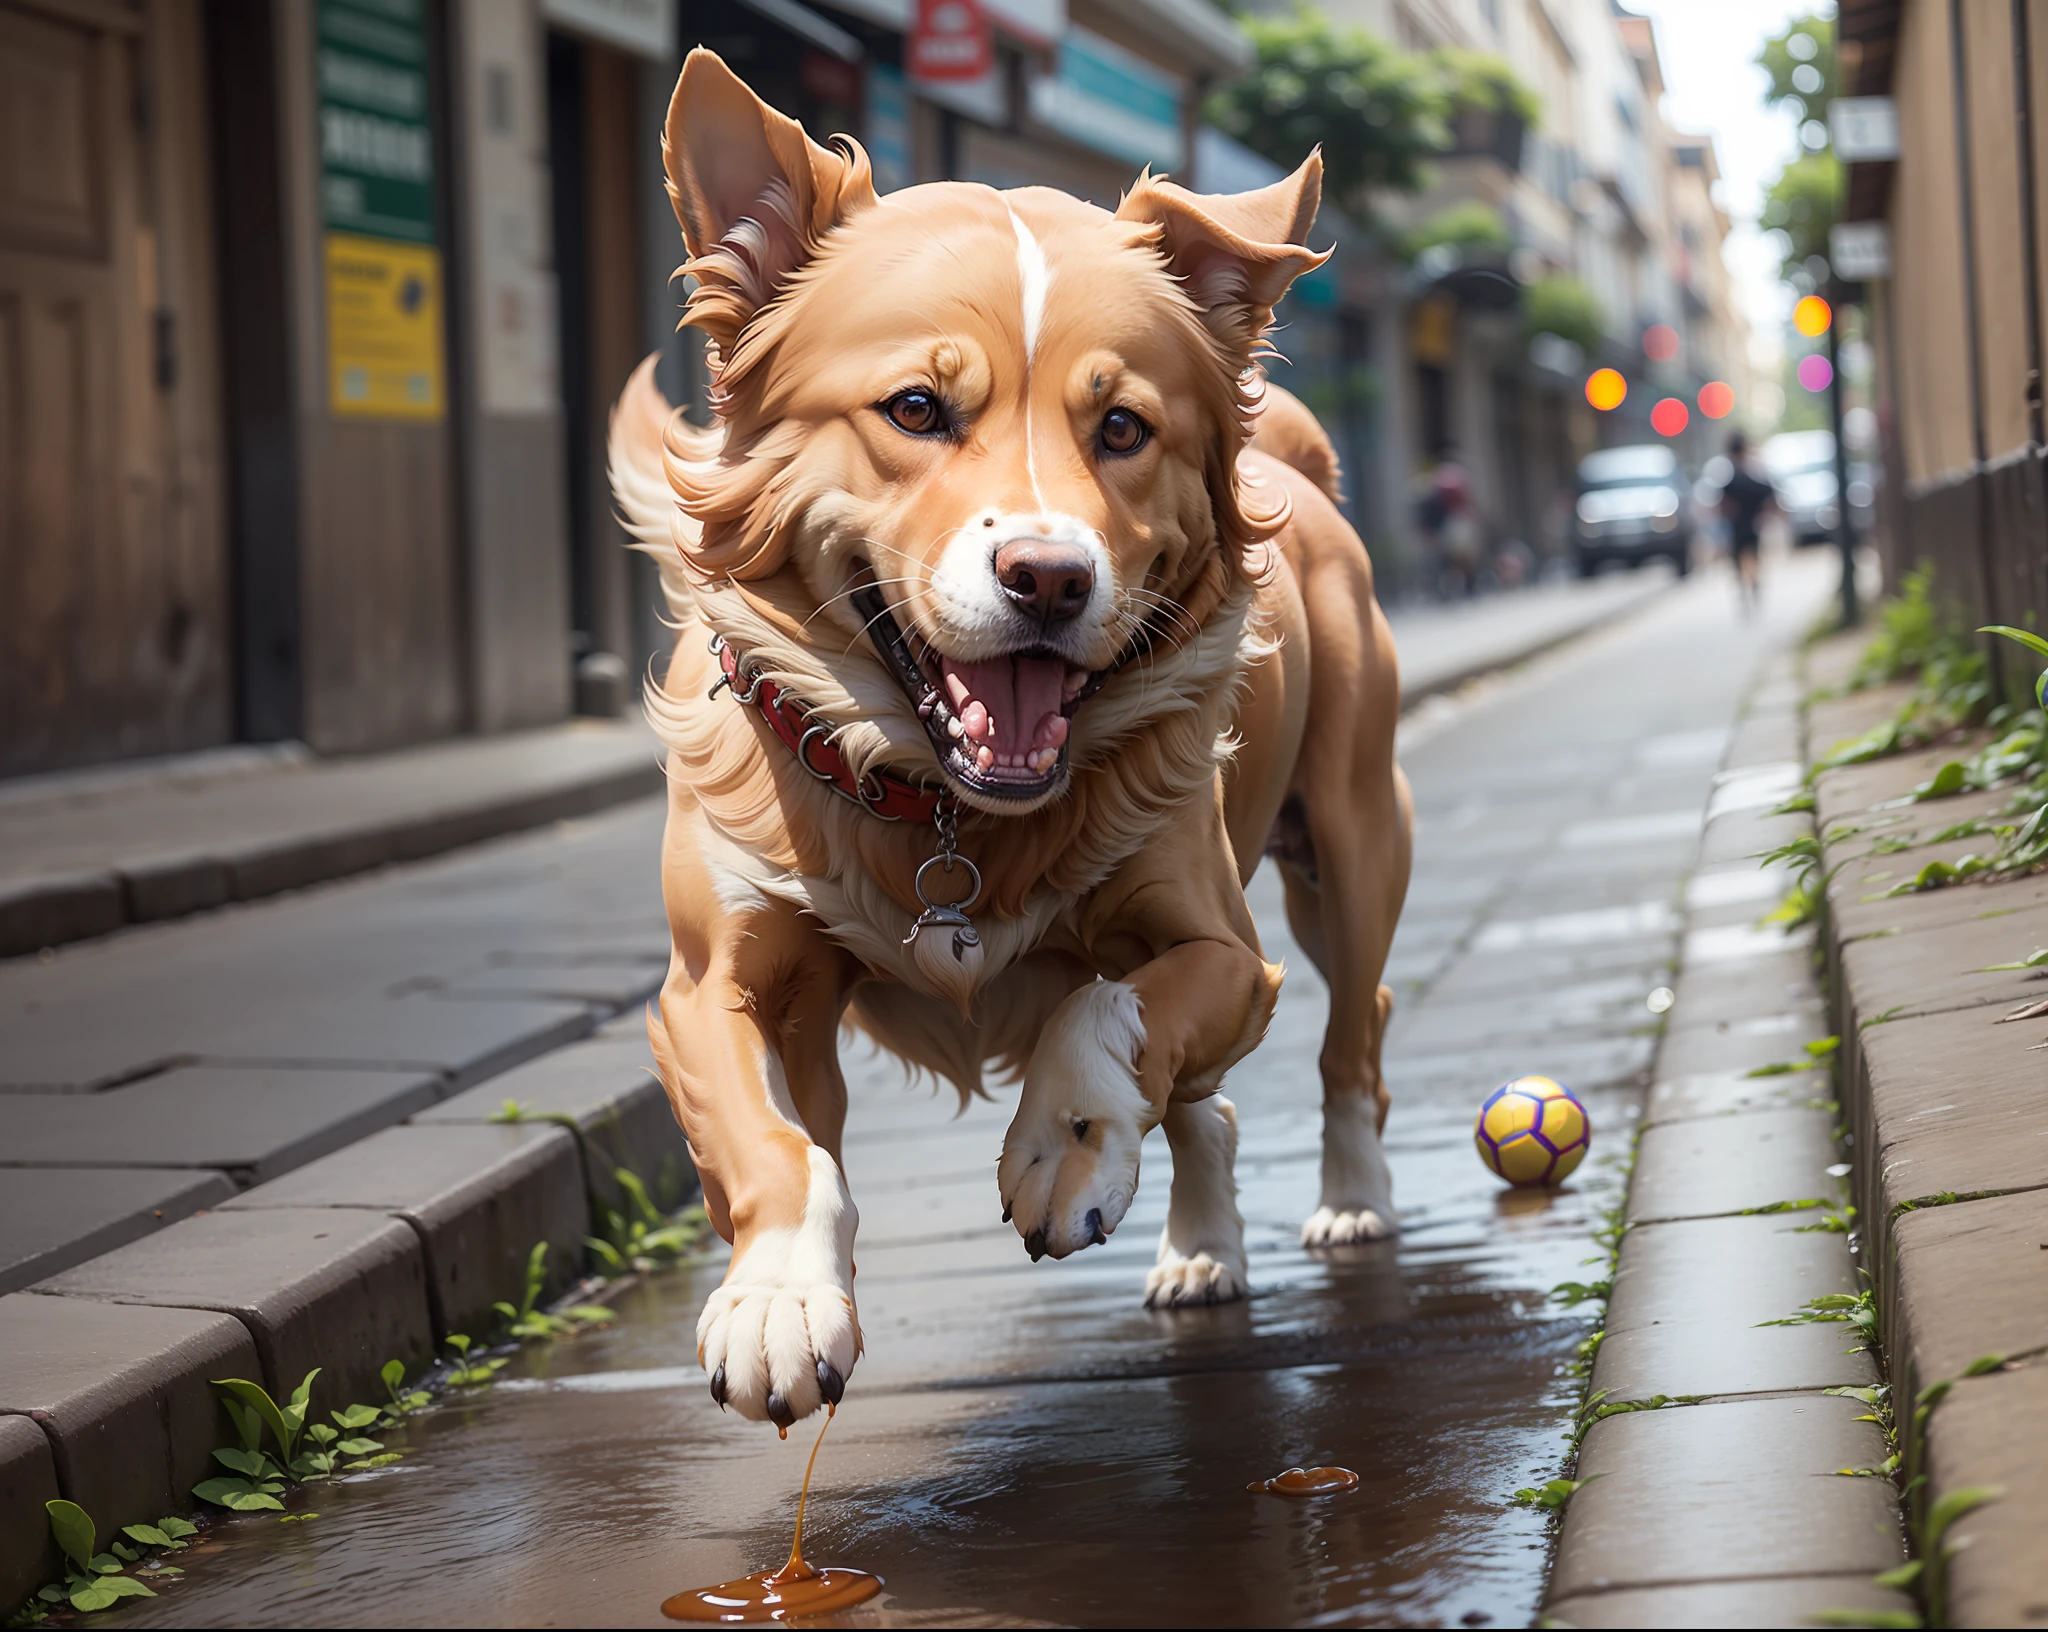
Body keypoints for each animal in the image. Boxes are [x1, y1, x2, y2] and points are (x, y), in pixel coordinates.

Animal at [606, 54, 1409, 1425]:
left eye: (1123, 428)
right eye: (915, 408)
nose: (1048, 576)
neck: (943, 804)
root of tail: (1301, 467)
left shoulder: (1224, 952)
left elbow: (1107, 1010)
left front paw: (1061, 1149)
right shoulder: (716, 982)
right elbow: (773, 1139)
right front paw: (777, 1299)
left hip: (1351, 851)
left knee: (1348, 1031)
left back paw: (1345, 1201)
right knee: (1204, 1106)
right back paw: (1202, 1247)